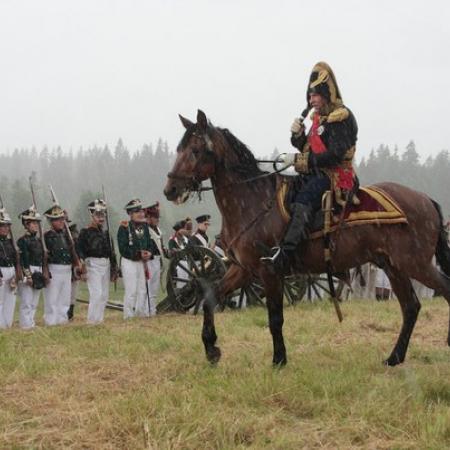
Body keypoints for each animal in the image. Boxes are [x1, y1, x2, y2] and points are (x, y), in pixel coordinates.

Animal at [163, 110, 450, 368]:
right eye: (179, 149)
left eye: (196, 150)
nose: (170, 189)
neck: (253, 201)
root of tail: (425, 199)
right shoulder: (243, 269)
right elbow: (209, 298)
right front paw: (211, 349)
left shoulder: (270, 271)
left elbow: (275, 318)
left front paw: (279, 359)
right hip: (394, 266)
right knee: (411, 307)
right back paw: (394, 358)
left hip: (414, 264)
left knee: (442, 290)